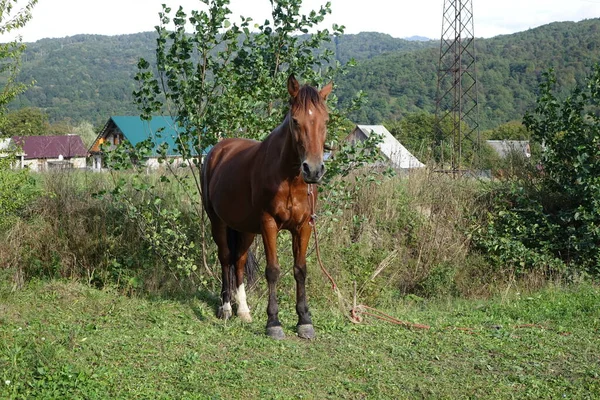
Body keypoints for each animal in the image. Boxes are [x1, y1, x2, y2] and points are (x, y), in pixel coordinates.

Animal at [202, 74, 332, 338]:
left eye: (326, 120)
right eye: (295, 120)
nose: (313, 170)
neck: (290, 178)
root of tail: (217, 151)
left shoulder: (304, 226)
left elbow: (300, 269)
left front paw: (304, 320)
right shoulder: (268, 224)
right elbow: (272, 270)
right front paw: (273, 323)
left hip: (245, 229)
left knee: (239, 261)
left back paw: (243, 311)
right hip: (218, 222)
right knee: (225, 258)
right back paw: (226, 308)